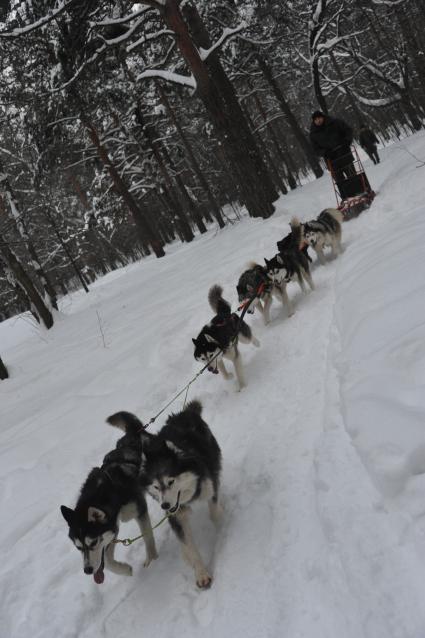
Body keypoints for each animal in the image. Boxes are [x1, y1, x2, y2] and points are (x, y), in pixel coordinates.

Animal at [60, 416, 157, 584]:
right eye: (78, 547)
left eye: (92, 543)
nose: (87, 570)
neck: (110, 492)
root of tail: (132, 433)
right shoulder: (111, 528)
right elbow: (108, 562)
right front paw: (125, 569)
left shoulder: (139, 511)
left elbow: (148, 537)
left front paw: (153, 561)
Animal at [138, 402, 222, 592]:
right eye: (156, 486)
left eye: (170, 481)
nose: (165, 505)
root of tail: (182, 413)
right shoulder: (176, 515)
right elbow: (189, 546)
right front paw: (201, 574)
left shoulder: (210, 487)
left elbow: (214, 512)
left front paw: (222, 527)